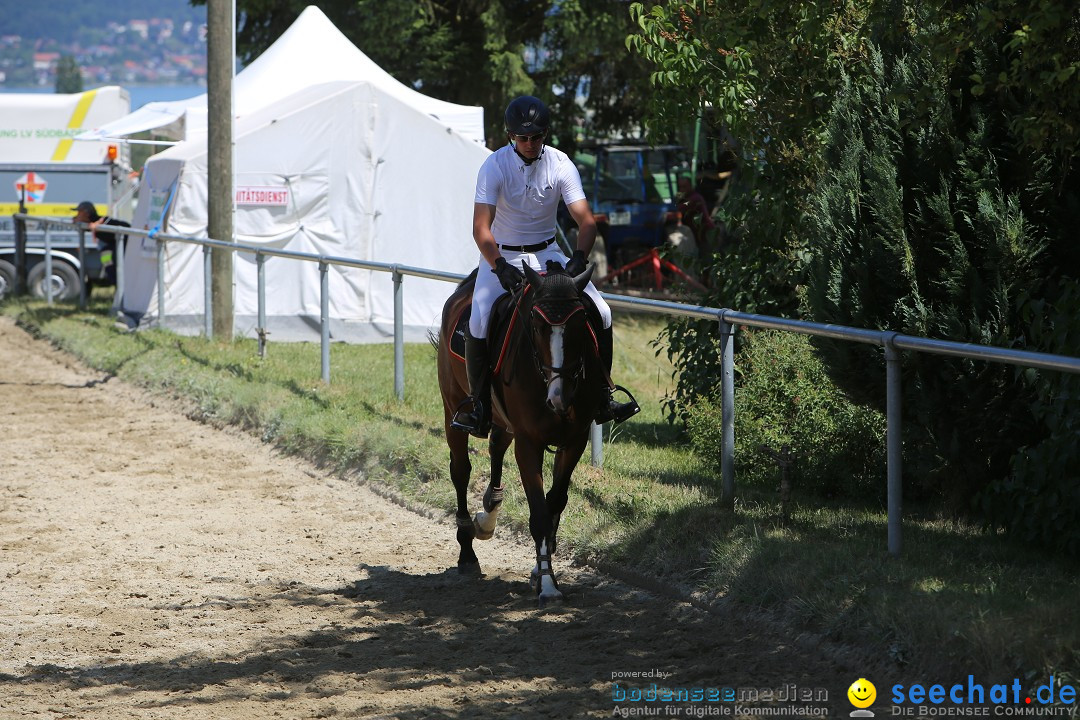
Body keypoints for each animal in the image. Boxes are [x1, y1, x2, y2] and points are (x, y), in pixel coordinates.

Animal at [434, 262, 604, 604]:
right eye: (536, 327)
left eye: (581, 324)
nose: (559, 398)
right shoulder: (529, 442)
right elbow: (539, 513)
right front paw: (548, 584)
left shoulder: (575, 440)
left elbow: (555, 503)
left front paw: (541, 568)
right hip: (451, 406)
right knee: (461, 470)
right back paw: (467, 552)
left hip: (502, 419)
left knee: (496, 446)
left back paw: (488, 514)